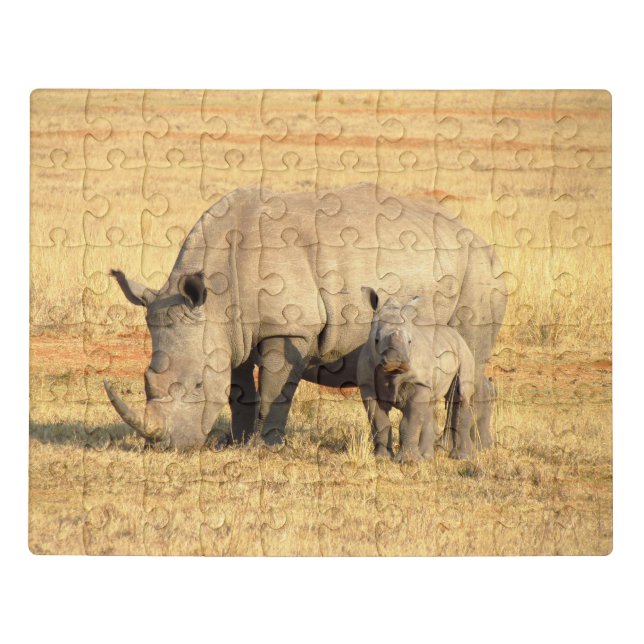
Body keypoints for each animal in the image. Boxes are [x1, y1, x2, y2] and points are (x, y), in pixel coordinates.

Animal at [357, 289, 477, 463]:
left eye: (409, 341)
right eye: (376, 340)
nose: (396, 361)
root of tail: (456, 335)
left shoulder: (419, 381)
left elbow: (410, 422)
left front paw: (408, 461)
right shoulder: (367, 386)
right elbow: (379, 422)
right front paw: (382, 458)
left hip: (464, 352)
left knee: (461, 395)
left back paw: (461, 457)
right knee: (429, 405)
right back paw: (427, 457)